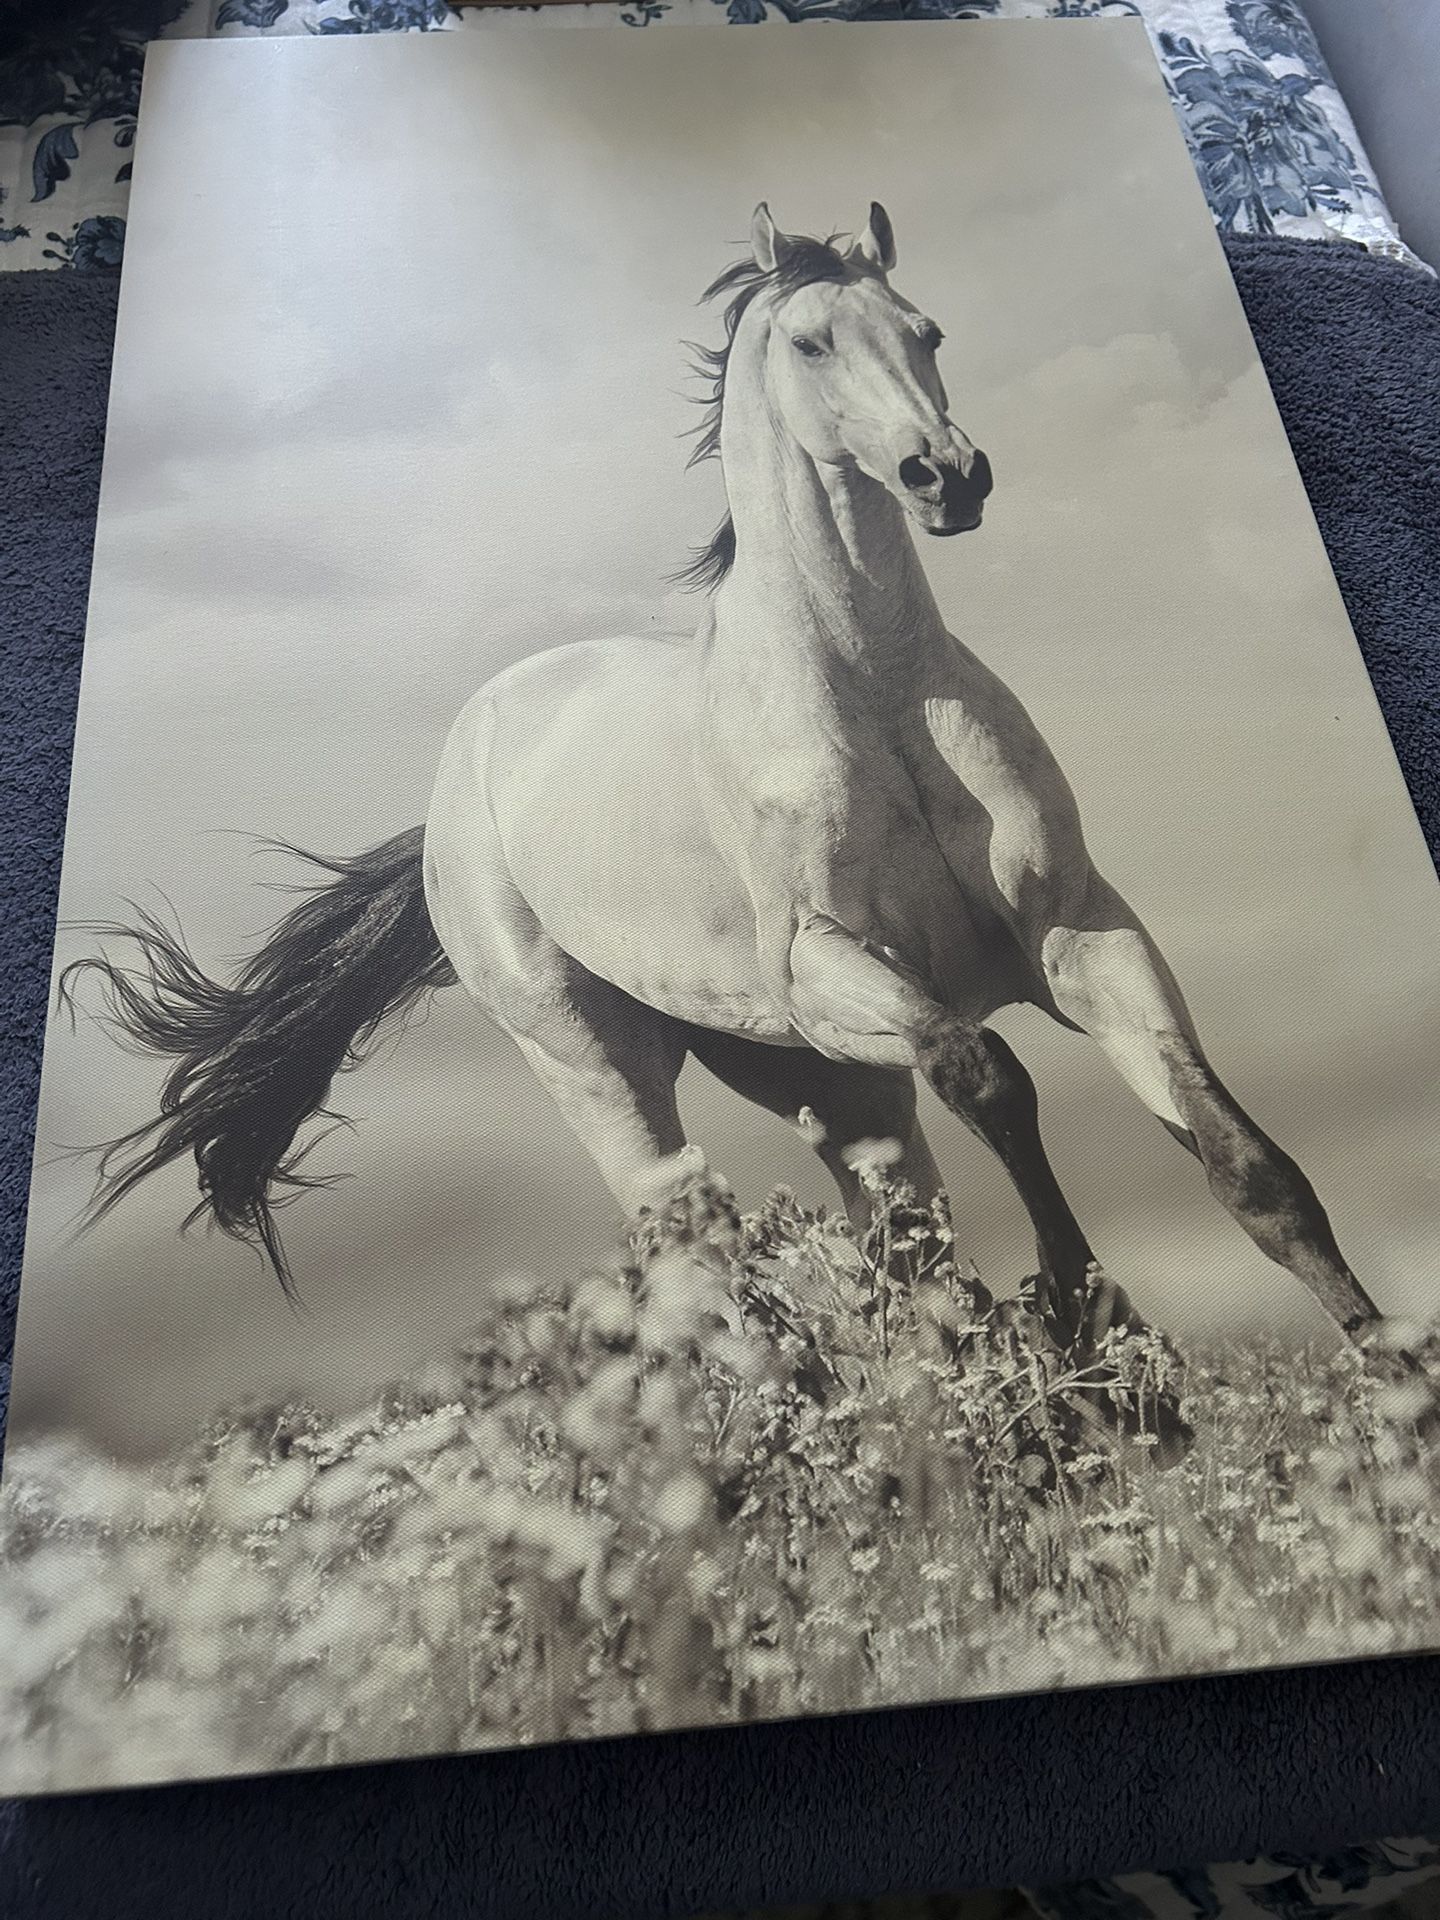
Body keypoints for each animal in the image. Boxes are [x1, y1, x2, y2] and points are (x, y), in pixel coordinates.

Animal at [70, 200, 1395, 1389]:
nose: (948, 476)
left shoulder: (1079, 934)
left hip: (825, 1079)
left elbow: (1248, 1168)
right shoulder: (828, 966)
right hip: (610, 1071)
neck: (872, 687)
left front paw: (1388, 1380)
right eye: (811, 343)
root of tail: (461, 777)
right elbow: (991, 1075)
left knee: (902, 1243)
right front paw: (1084, 1312)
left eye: (928, 330)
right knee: (693, 1246)